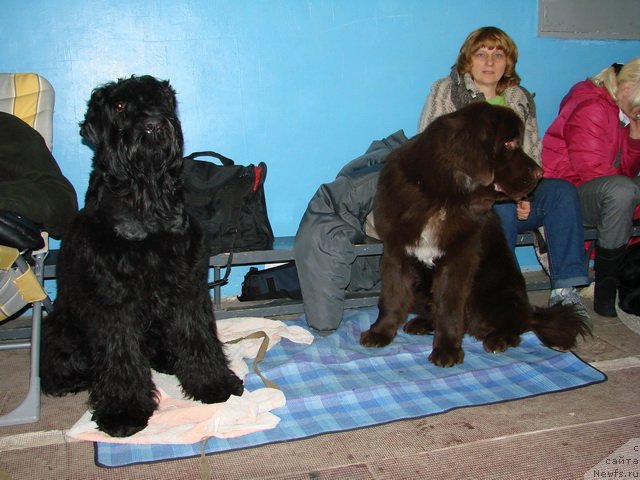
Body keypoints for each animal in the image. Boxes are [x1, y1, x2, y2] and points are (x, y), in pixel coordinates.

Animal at [40, 76, 244, 438]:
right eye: (119, 106)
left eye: (159, 99)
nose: (152, 125)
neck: (148, 204)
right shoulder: (114, 304)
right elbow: (120, 355)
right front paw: (123, 410)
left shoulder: (187, 290)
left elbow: (198, 337)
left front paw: (212, 383)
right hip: (63, 329)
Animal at [360, 103, 592, 368]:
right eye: (508, 144)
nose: (540, 173)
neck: (443, 195)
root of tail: (529, 311)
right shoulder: (396, 251)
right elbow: (391, 296)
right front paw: (381, 332)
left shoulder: (458, 257)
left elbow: (449, 307)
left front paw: (447, 350)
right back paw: (421, 323)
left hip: (494, 293)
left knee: (515, 328)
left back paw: (498, 339)